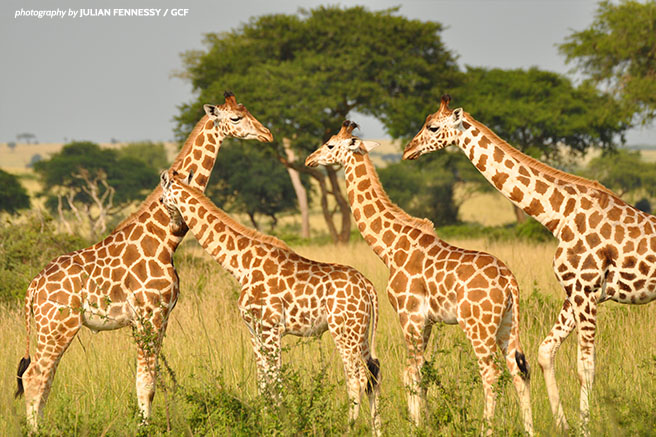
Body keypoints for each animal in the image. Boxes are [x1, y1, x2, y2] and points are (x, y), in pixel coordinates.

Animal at [14, 91, 272, 430]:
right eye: (235, 118)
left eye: (248, 110)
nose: (267, 134)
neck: (166, 238)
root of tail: (33, 287)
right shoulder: (149, 314)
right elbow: (146, 383)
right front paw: (143, 428)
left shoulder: (160, 317)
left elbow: (149, 379)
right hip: (57, 324)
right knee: (35, 376)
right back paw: (36, 430)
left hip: (53, 327)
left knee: (45, 376)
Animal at [160, 169, 384, 432]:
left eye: (163, 199)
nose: (174, 227)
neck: (240, 265)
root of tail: (368, 286)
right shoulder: (254, 330)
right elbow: (263, 381)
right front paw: (267, 421)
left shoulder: (270, 327)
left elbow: (275, 380)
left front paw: (280, 424)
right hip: (361, 332)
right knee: (374, 372)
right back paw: (377, 429)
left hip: (343, 331)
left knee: (357, 376)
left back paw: (348, 427)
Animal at [306, 119, 532, 432]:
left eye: (329, 144)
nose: (309, 160)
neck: (389, 246)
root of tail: (510, 282)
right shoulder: (426, 321)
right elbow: (421, 370)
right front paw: (423, 421)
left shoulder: (408, 314)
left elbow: (410, 371)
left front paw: (416, 425)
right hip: (508, 324)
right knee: (518, 370)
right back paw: (530, 429)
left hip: (478, 325)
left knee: (492, 373)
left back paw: (486, 428)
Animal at [402, 93, 656, 430]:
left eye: (432, 127)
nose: (407, 150)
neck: (559, 216)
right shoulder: (579, 292)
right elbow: (545, 352)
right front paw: (563, 425)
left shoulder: (585, 290)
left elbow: (585, 367)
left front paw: (585, 427)